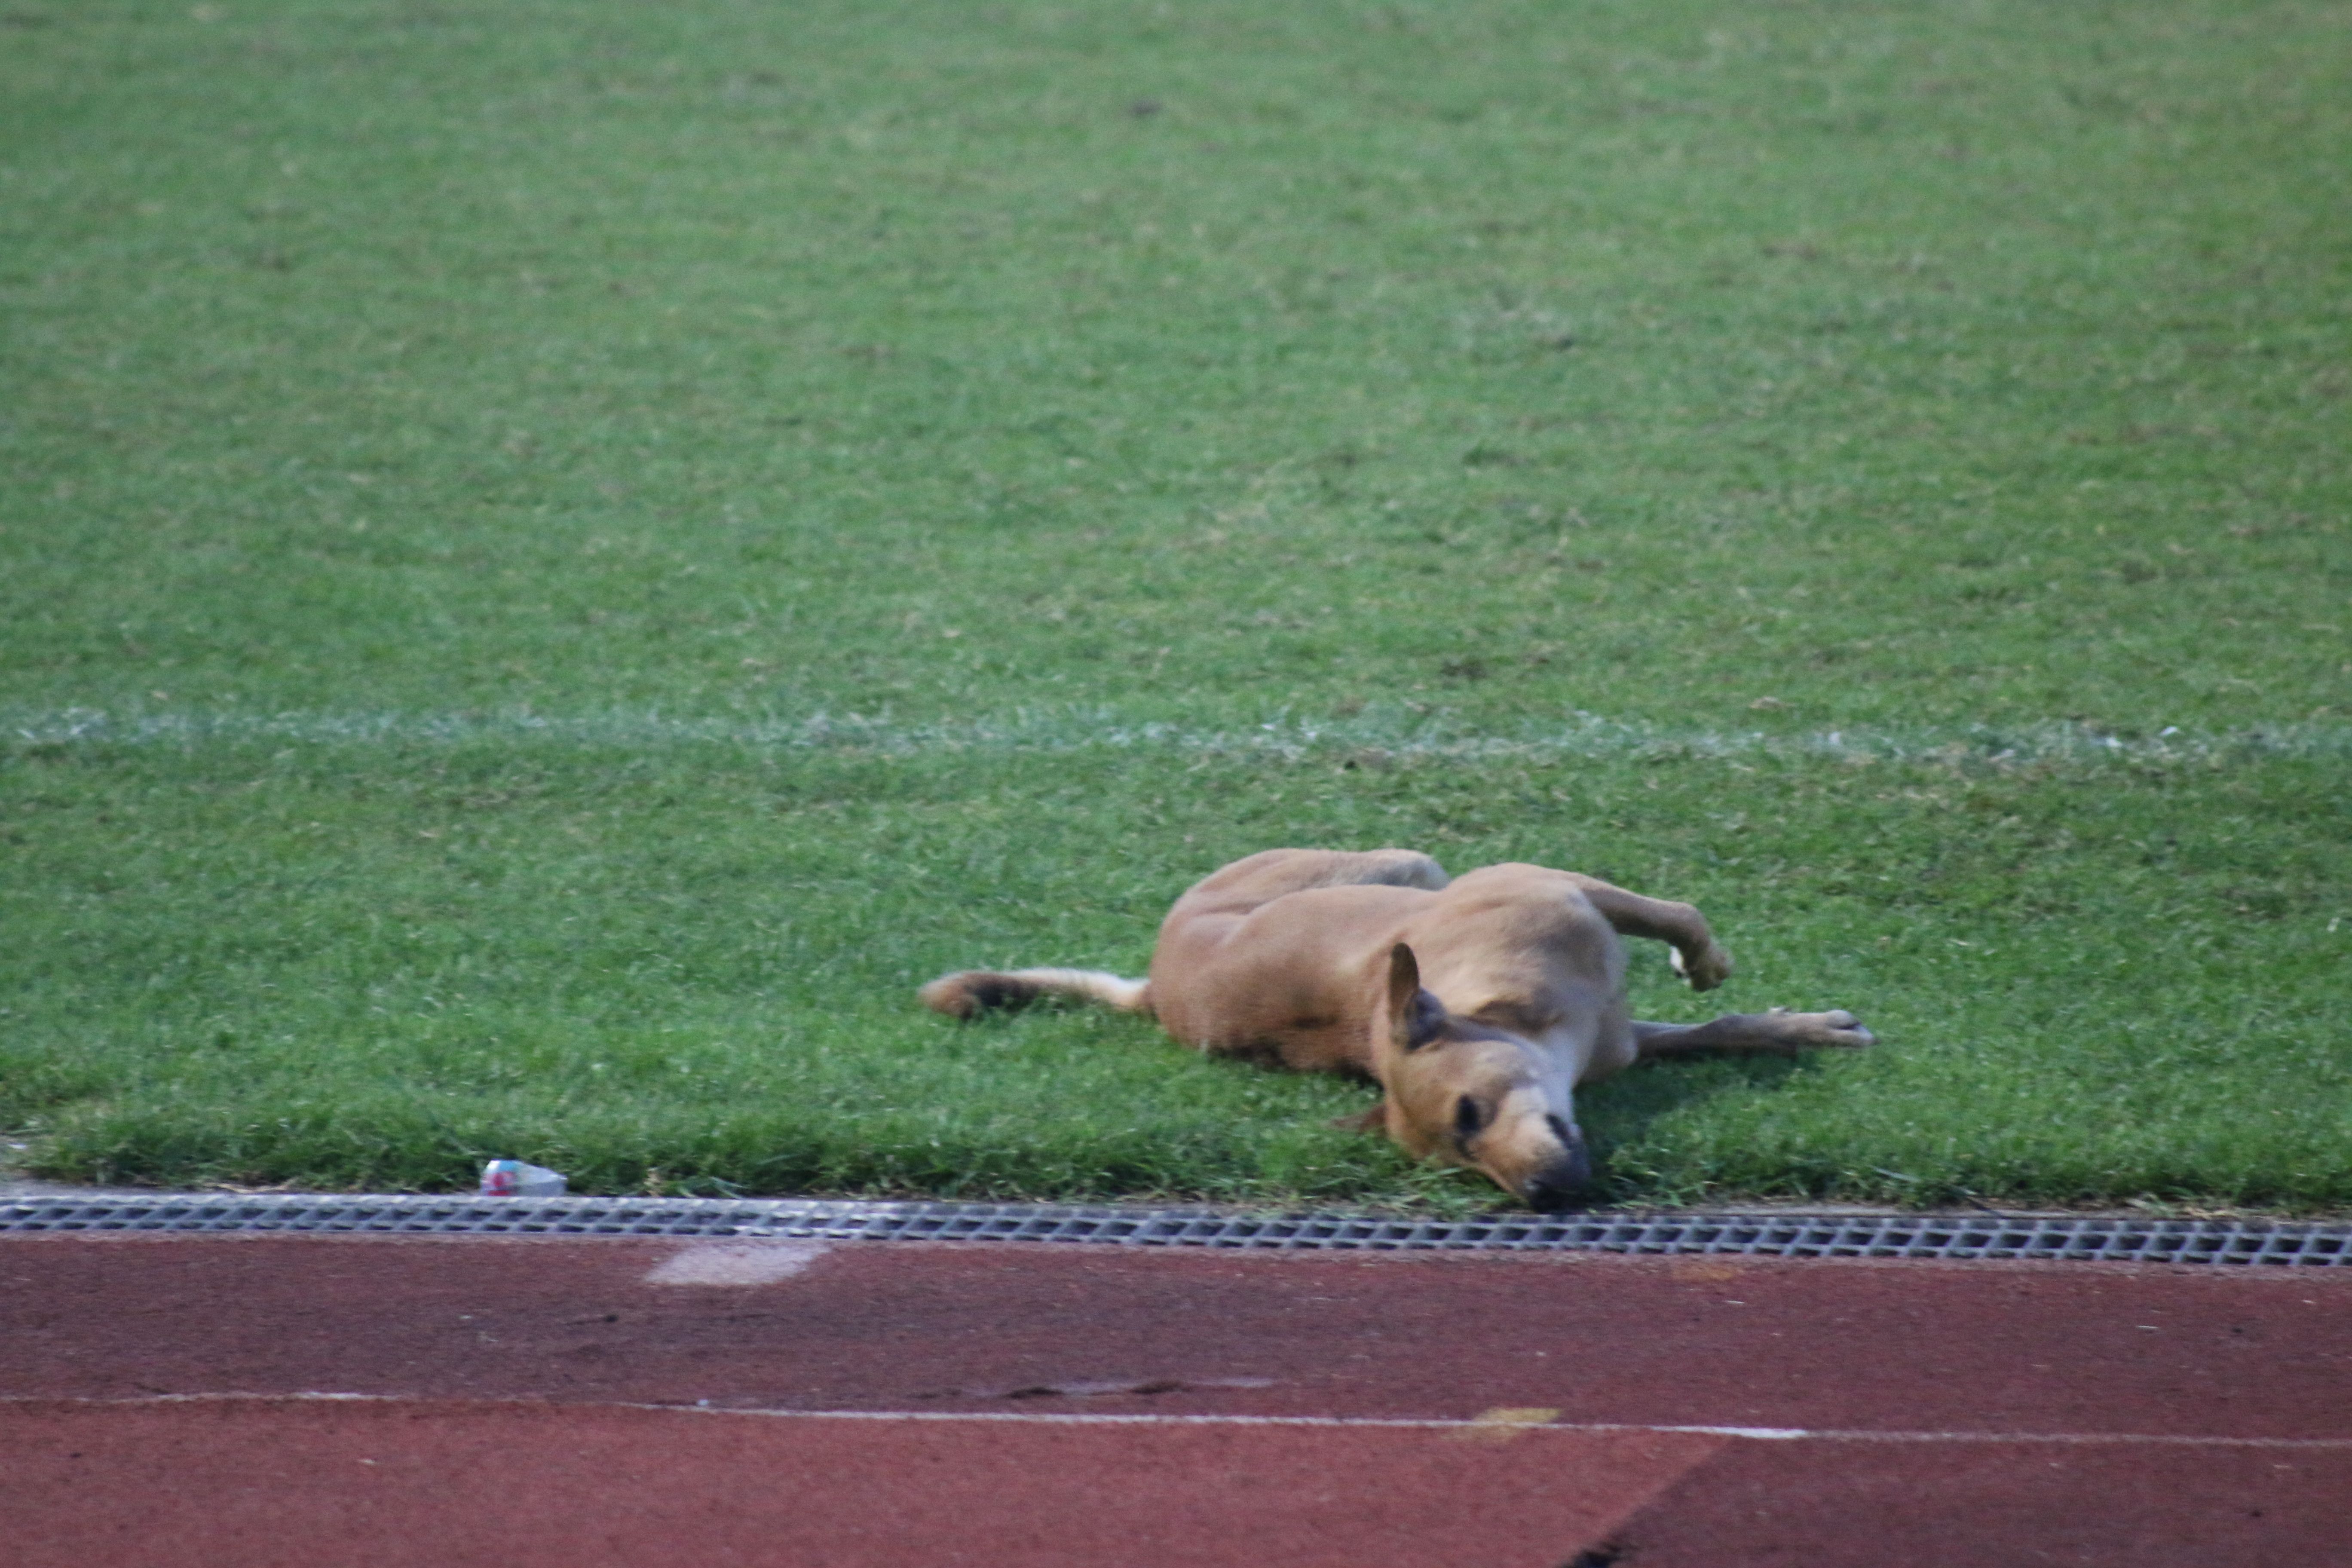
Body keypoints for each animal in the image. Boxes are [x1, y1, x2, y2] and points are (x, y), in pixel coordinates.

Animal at [921, 848, 1873, 1210]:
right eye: (1461, 1154)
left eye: (1470, 1116)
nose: (1542, 1196)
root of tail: (1155, 990)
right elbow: (1691, 965)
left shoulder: (1577, 918)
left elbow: (1694, 951)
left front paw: (1785, 1019)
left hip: (1403, 863)